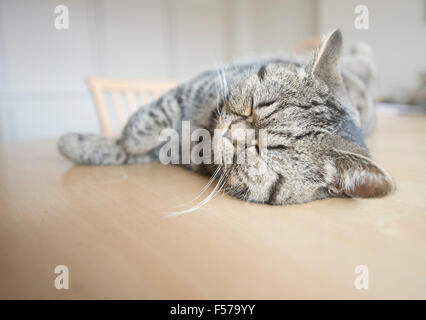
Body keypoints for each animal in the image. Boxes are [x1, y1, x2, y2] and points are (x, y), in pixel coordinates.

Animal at [58, 29, 394, 205]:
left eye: (258, 151)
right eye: (253, 105)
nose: (230, 132)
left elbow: (131, 153)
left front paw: (85, 145)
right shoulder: (197, 85)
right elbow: (155, 111)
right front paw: (127, 138)